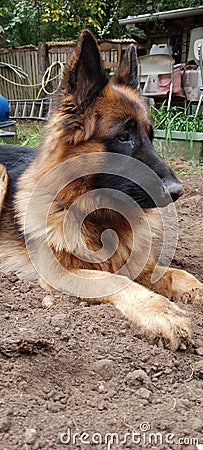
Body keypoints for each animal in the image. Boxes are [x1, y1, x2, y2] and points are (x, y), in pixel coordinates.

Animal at [0, 29, 202, 350]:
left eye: (151, 136)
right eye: (122, 137)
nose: (177, 191)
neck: (98, 215)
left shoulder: (138, 263)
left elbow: (182, 275)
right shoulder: (61, 273)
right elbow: (117, 280)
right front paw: (162, 313)